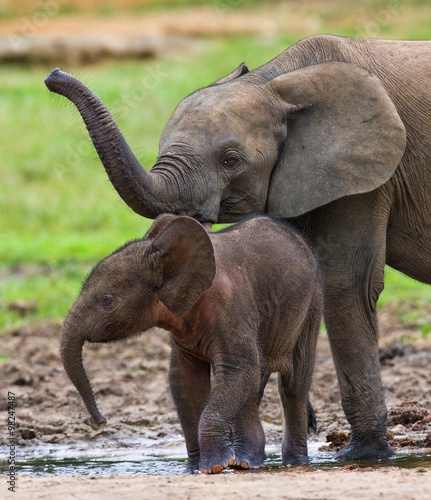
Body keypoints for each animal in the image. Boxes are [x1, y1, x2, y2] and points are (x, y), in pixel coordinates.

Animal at [60, 214, 324, 472]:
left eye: (107, 301)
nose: (101, 421)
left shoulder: (233, 309)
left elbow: (238, 372)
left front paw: (213, 468)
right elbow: (186, 382)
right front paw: (195, 469)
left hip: (312, 304)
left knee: (293, 385)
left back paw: (293, 464)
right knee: (254, 385)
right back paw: (247, 463)